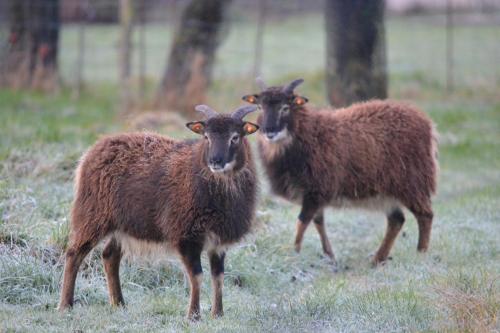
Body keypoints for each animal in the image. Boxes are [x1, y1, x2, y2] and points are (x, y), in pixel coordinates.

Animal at [58, 105, 260, 318]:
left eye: (235, 137)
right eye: (206, 136)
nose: (215, 161)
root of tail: (93, 150)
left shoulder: (218, 242)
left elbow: (218, 277)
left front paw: (218, 314)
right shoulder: (186, 235)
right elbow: (196, 276)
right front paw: (193, 315)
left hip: (123, 224)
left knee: (109, 256)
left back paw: (119, 304)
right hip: (93, 215)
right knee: (74, 253)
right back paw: (65, 305)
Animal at [243, 78, 438, 264]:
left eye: (285, 107)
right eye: (260, 107)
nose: (269, 131)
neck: (307, 134)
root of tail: (426, 123)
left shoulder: (316, 189)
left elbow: (302, 222)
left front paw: (293, 254)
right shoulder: (314, 193)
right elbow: (317, 222)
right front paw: (329, 255)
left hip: (412, 182)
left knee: (425, 215)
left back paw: (421, 253)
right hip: (389, 191)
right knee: (397, 220)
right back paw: (378, 259)